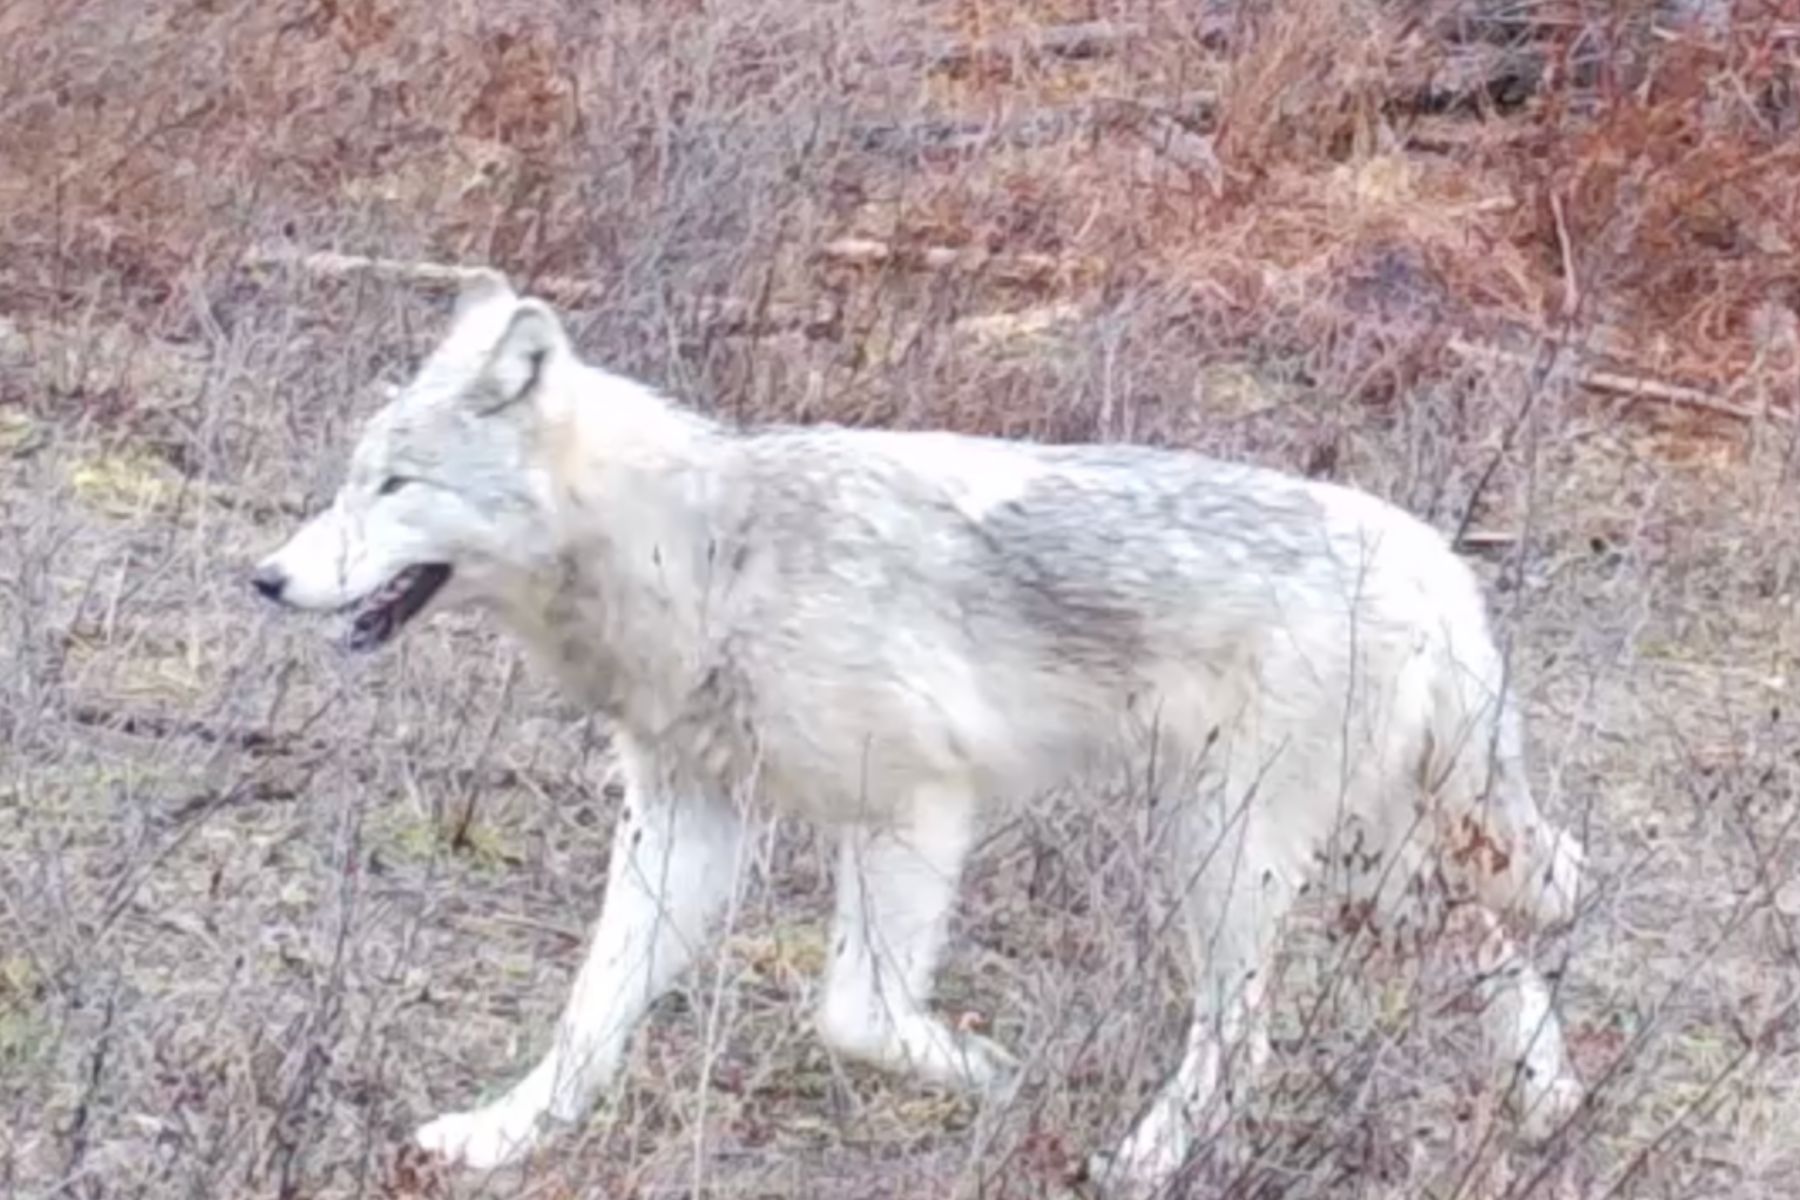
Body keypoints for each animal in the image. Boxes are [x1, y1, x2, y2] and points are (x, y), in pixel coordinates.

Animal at [251, 271, 1587, 1193]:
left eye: (396, 486)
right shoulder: (684, 819)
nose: (264, 578)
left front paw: (985, 1070)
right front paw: (499, 1136)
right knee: (1489, 944)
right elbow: (590, 1014)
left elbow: (854, 1014)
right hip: (1358, 861)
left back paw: (1144, 1161)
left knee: (1247, 1035)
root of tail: (1431, 556)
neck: (705, 554)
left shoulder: (915, 809)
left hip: (1227, 852)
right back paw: (1551, 1102)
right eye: (351, 478)